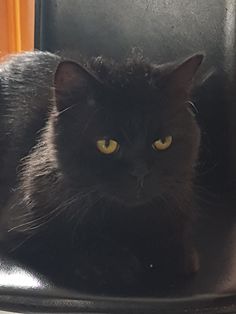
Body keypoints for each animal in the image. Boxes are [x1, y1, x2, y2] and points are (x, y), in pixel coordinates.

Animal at [0, 51, 203, 294]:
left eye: (163, 142)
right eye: (107, 144)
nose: (140, 172)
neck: (123, 220)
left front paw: (172, 252)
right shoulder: (17, 227)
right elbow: (66, 239)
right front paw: (113, 261)